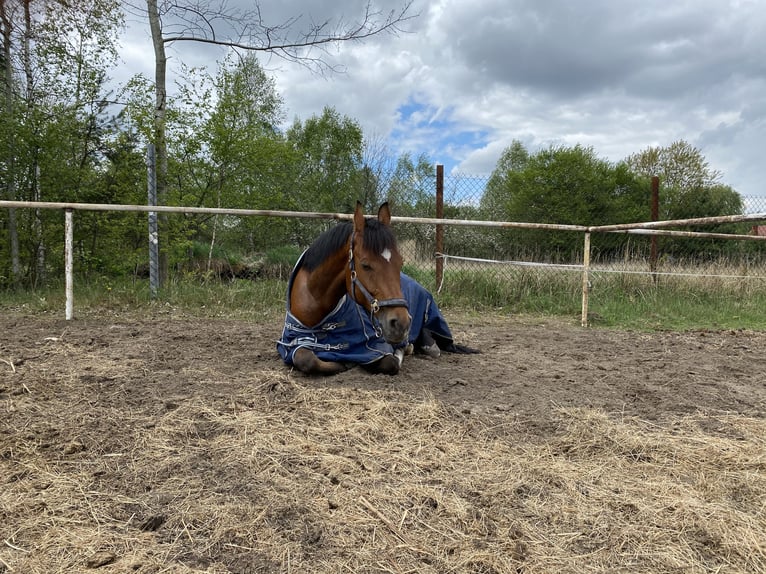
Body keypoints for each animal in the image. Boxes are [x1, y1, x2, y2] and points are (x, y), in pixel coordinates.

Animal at [280, 204, 414, 378]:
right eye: (365, 265)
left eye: (400, 262)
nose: (401, 323)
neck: (314, 298)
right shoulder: (293, 342)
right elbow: (306, 359)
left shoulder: (375, 347)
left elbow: (391, 362)